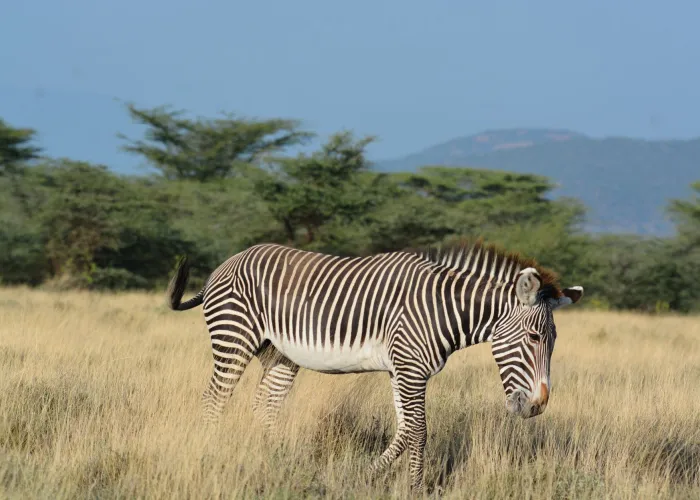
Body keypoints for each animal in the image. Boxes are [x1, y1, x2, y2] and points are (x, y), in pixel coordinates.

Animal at [167, 239, 583, 492]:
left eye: (555, 342)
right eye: (534, 338)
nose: (537, 406)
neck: (440, 309)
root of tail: (228, 262)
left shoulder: (402, 369)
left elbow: (404, 431)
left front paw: (361, 477)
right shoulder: (411, 368)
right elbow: (419, 432)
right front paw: (416, 490)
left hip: (280, 354)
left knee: (265, 405)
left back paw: (273, 458)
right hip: (233, 336)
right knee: (214, 399)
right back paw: (212, 453)